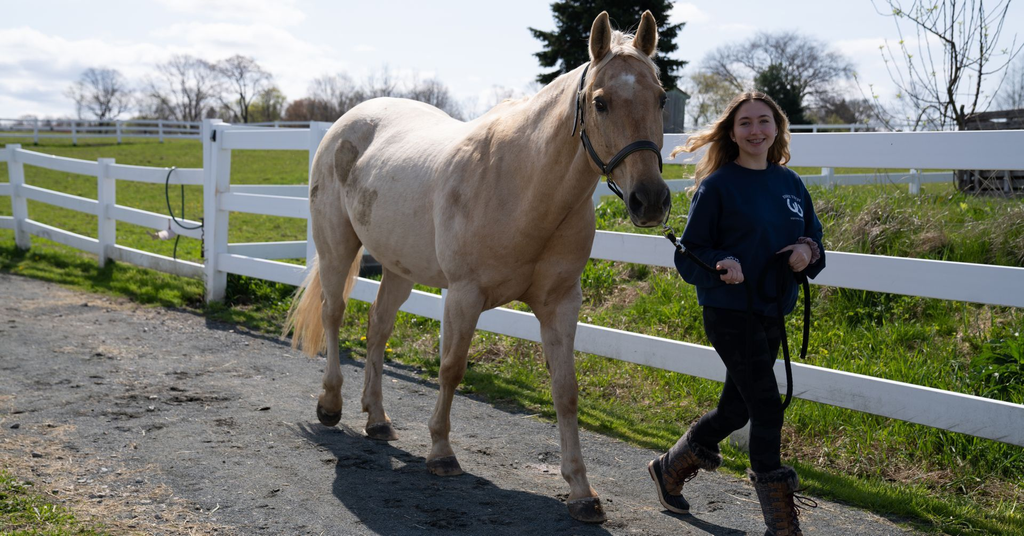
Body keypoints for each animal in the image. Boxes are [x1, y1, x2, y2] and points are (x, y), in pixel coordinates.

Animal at [286, 10, 671, 522]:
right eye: (601, 102)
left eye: (661, 97)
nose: (650, 200)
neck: (523, 184)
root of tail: (344, 124)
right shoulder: (464, 295)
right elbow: (451, 368)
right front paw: (441, 454)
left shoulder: (560, 304)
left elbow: (566, 390)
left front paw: (581, 491)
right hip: (337, 246)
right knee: (334, 314)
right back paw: (330, 404)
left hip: (399, 268)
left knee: (377, 327)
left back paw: (378, 419)